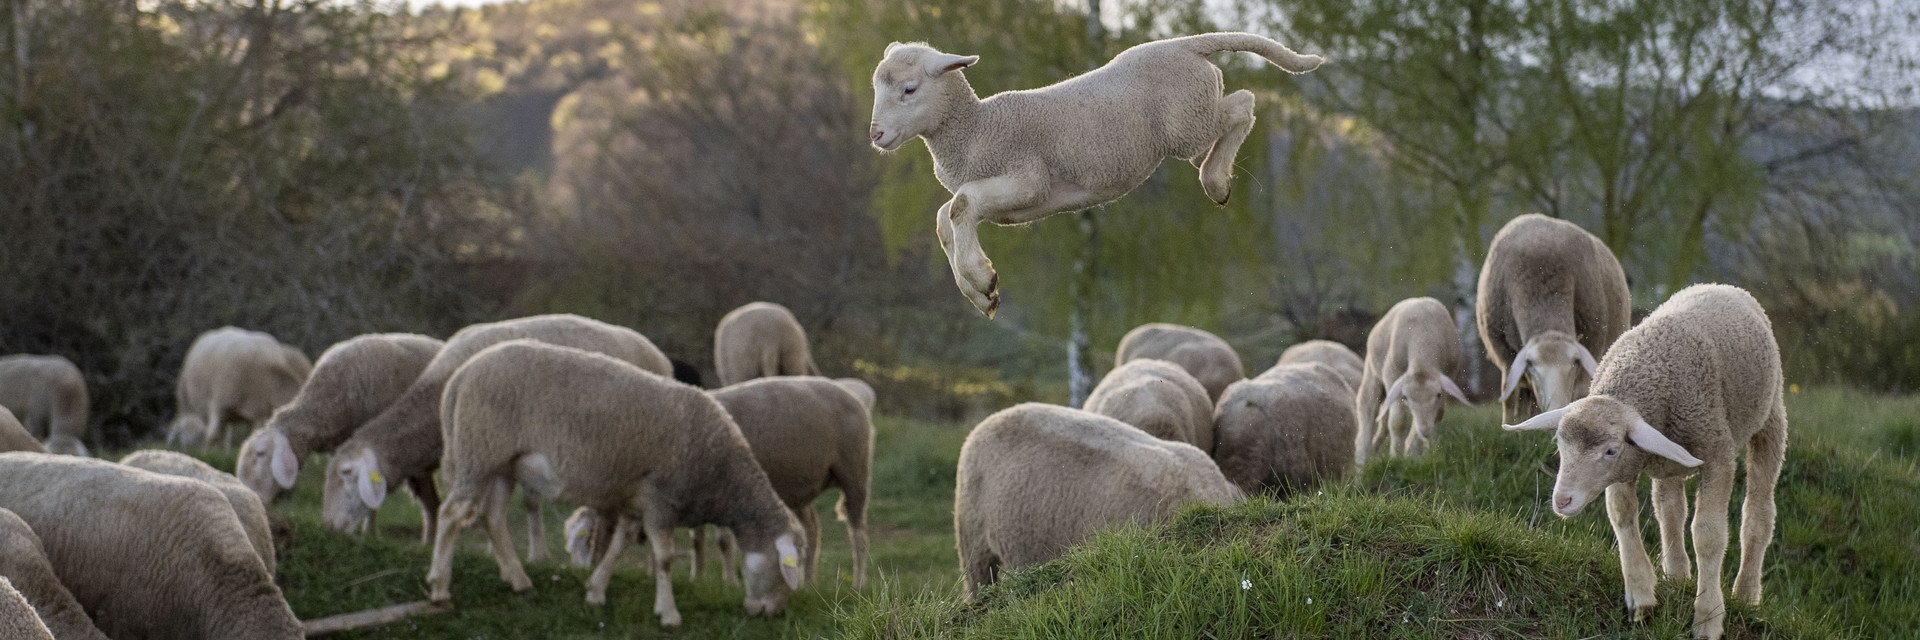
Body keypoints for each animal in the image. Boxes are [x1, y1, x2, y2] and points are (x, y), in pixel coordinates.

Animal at [426, 340, 805, 628]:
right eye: (785, 568)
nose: (774, 613)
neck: (723, 477)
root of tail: (461, 376)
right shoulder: (662, 499)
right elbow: (665, 558)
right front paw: (669, 615)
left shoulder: (637, 501)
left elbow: (620, 544)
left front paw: (596, 591)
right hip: (479, 451)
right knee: (452, 513)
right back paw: (440, 588)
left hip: (503, 465)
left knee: (492, 518)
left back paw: (520, 581)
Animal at [867, 34, 1322, 316]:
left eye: (909, 89)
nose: (876, 135)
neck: (976, 127)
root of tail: (1185, 44)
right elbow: (945, 219)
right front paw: (980, 294)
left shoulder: (1028, 180)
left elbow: (960, 206)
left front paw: (981, 279)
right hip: (1194, 114)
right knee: (1234, 110)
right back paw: (1213, 170)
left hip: (1187, 123)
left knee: (1244, 104)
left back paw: (1215, 180)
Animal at [1355, 298, 1472, 463]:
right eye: (1405, 397)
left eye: (1438, 395)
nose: (1425, 430)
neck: (1424, 335)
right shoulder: (1392, 373)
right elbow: (1397, 421)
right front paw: (1396, 457)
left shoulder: (1450, 373)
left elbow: (1437, 414)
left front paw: (1414, 453)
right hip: (1372, 371)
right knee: (1367, 406)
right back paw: (1362, 459)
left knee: (1383, 420)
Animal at [1476, 214, 1632, 422]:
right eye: (1531, 363)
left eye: (1574, 362)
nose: (1555, 408)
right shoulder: (1505, 355)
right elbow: (1509, 397)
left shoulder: (1592, 346)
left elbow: (1581, 393)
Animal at [1503, 284, 1785, 640]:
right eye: (1559, 442)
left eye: (1610, 450)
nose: (1561, 500)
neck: (1643, 368)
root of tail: (1719, 286)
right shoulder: (1628, 464)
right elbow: (1621, 514)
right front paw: (1640, 594)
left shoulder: (1716, 455)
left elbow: (1708, 535)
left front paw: (1708, 617)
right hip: (1668, 459)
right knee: (1670, 509)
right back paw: (1676, 575)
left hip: (1770, 417)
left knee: (1757, 513)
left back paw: (1746, 593)